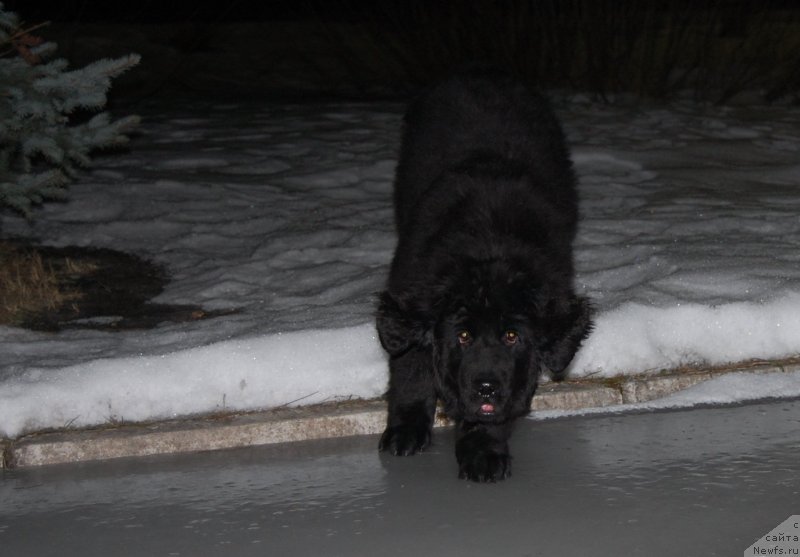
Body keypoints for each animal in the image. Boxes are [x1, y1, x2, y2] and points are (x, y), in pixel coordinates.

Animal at [376, 69, 592, 480]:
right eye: (462, 336)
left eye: (511, 336)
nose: (487, 388)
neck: (487, 249)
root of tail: (480, 73)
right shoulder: (411, 298)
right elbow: (411, 369)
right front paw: (405, 431)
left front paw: (482, 451)